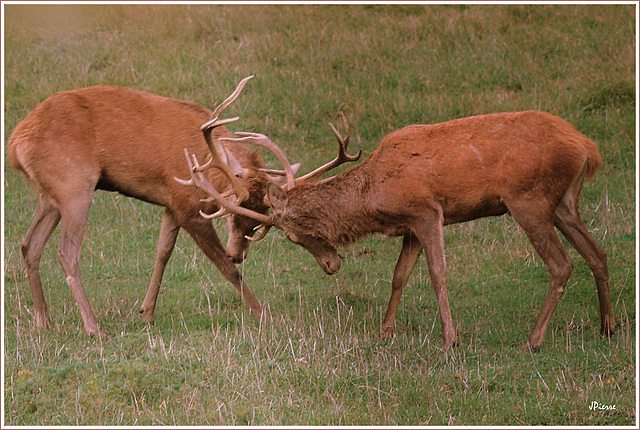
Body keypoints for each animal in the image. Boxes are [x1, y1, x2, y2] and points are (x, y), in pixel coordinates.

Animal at [6, 75, 284, 336]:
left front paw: (147, 313)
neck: (206, 163)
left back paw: (44, 321)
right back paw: (93, 328)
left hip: (50, 197)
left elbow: (163, 252)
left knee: (29, 245)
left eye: (258, 223)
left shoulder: (171, 204)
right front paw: (265, 315)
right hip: (74, 185)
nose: (238, 254)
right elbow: (226, 268)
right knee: (66, 252)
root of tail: (15, 145)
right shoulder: (188, 205)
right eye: (232, 217)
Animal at [184, 110, 616, 350]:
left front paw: (450, 339)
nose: (332, 265)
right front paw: (385, 331)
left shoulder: (426, 210)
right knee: (598, 253)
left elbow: (438, 274)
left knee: (561, 265)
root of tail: (587, 147)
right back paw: (607, 328)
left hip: (528, 199)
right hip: (564, 202)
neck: (373, 195)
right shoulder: (409, 225)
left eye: (291, 235)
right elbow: (399, 276)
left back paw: (533, 341)